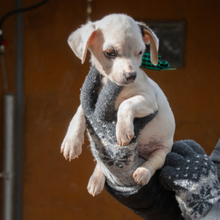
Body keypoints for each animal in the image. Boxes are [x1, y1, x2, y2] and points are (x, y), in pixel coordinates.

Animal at [60, 13, 175, 196]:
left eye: (141, 52)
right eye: (110, 53)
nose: (131, 76)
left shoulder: (149, 99)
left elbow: (126, 104)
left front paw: (122, 130)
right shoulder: (91, 103)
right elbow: (79, 112)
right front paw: (71, 141)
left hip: (162, 150)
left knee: (154, 162)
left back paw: (143, 172)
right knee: (103, 164)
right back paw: (96, 179)